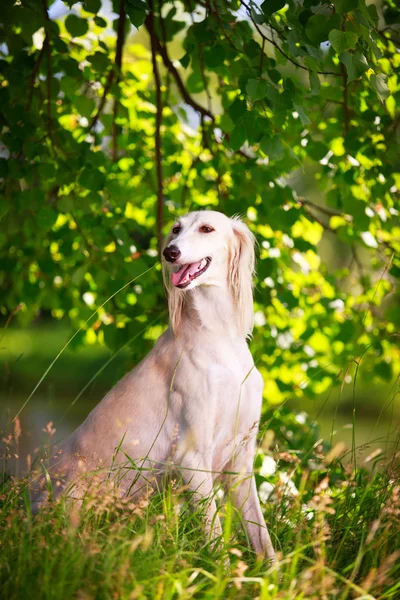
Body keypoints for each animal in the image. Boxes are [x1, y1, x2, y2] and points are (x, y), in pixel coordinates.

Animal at [31, 211, 276, 564]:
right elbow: (216, 540)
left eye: (207, 228)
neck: (217, 337)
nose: (169, 253)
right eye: (175, 229)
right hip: (75, 495)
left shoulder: (241, 462)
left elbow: (264, 542)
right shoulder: (192, 457)